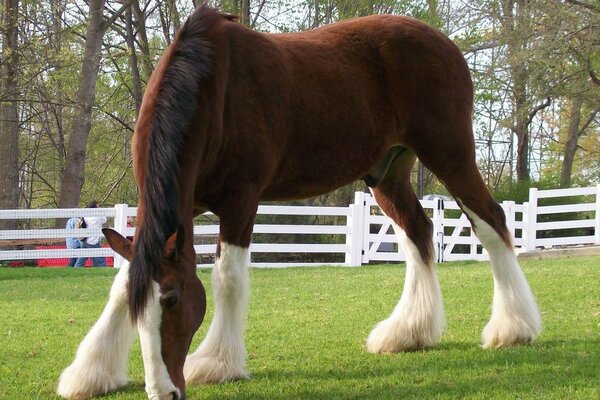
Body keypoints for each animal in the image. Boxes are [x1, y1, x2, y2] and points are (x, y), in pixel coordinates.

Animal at [58, 3, 540, 400]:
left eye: (174, 300)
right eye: (139, 311)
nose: (164, 392)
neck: (211, 90)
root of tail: (444, 42)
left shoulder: (240, 201)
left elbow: (228, 278)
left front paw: (217, 363)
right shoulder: (175, 209)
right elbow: (122, 282)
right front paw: (90, 373)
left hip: (450, 151)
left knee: (492, 223)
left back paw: (513, 328)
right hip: (388, 172)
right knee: (419, 233)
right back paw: (408, 333)